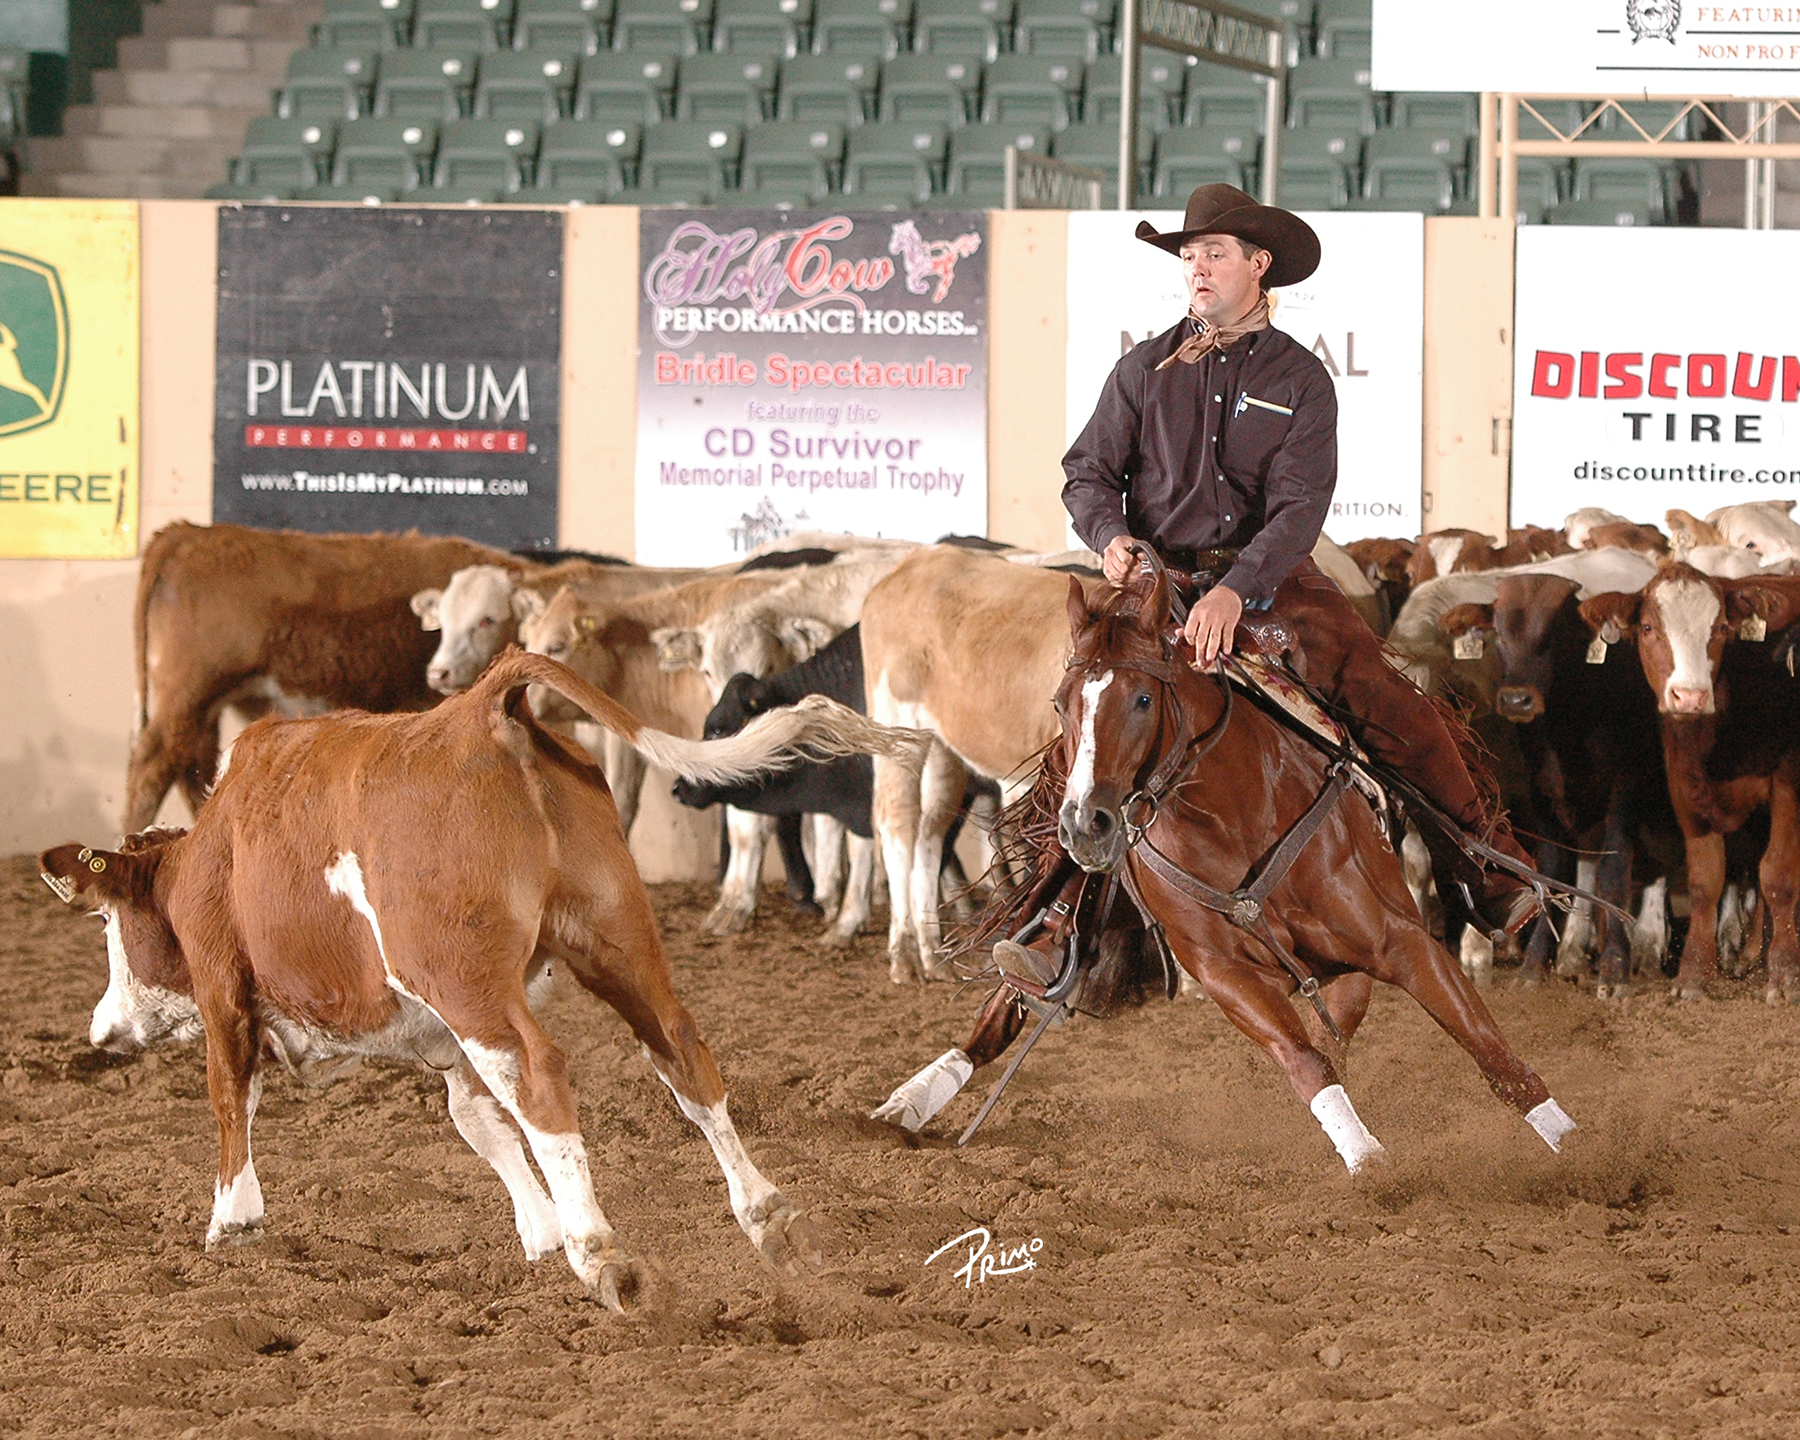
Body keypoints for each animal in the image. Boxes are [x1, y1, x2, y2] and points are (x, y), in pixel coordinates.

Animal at [43, 648, 928, 1296]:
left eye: (109, 926)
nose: (102, 1028)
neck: (208, 847)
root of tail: (478, 713)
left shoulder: (226, 988)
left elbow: (231, 1095)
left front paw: (232, 1221)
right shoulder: (447, 1041)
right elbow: (480, 1123)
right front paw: (540, 1231)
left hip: (471, 986)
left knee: (539, 1077)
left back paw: (602, 1255)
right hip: (613, 941)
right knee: (679, 1052)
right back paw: (767, 1217)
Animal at [882, 558, 1576, 1173]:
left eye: (1142, 698)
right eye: (1059, 703)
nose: (1083, 823)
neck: (1238, 821)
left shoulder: (1402, 942)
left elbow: (1492, 1052)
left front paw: (1574, 1146)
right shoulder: (1226, 975)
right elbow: (1305, 1060)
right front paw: (1369, 1161)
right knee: (999, 1014)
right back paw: (908, 1101)